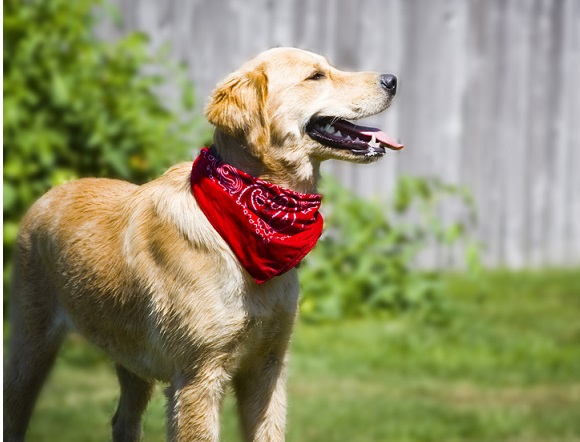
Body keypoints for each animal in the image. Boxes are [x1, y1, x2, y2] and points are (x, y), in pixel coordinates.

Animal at [3, 46, 404, 440]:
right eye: (316, 76)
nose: (393, 80)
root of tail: (52, 190)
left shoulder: (268, 366)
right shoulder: (199, 377)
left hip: (132, 358)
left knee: (123, 421)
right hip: (31, 346)